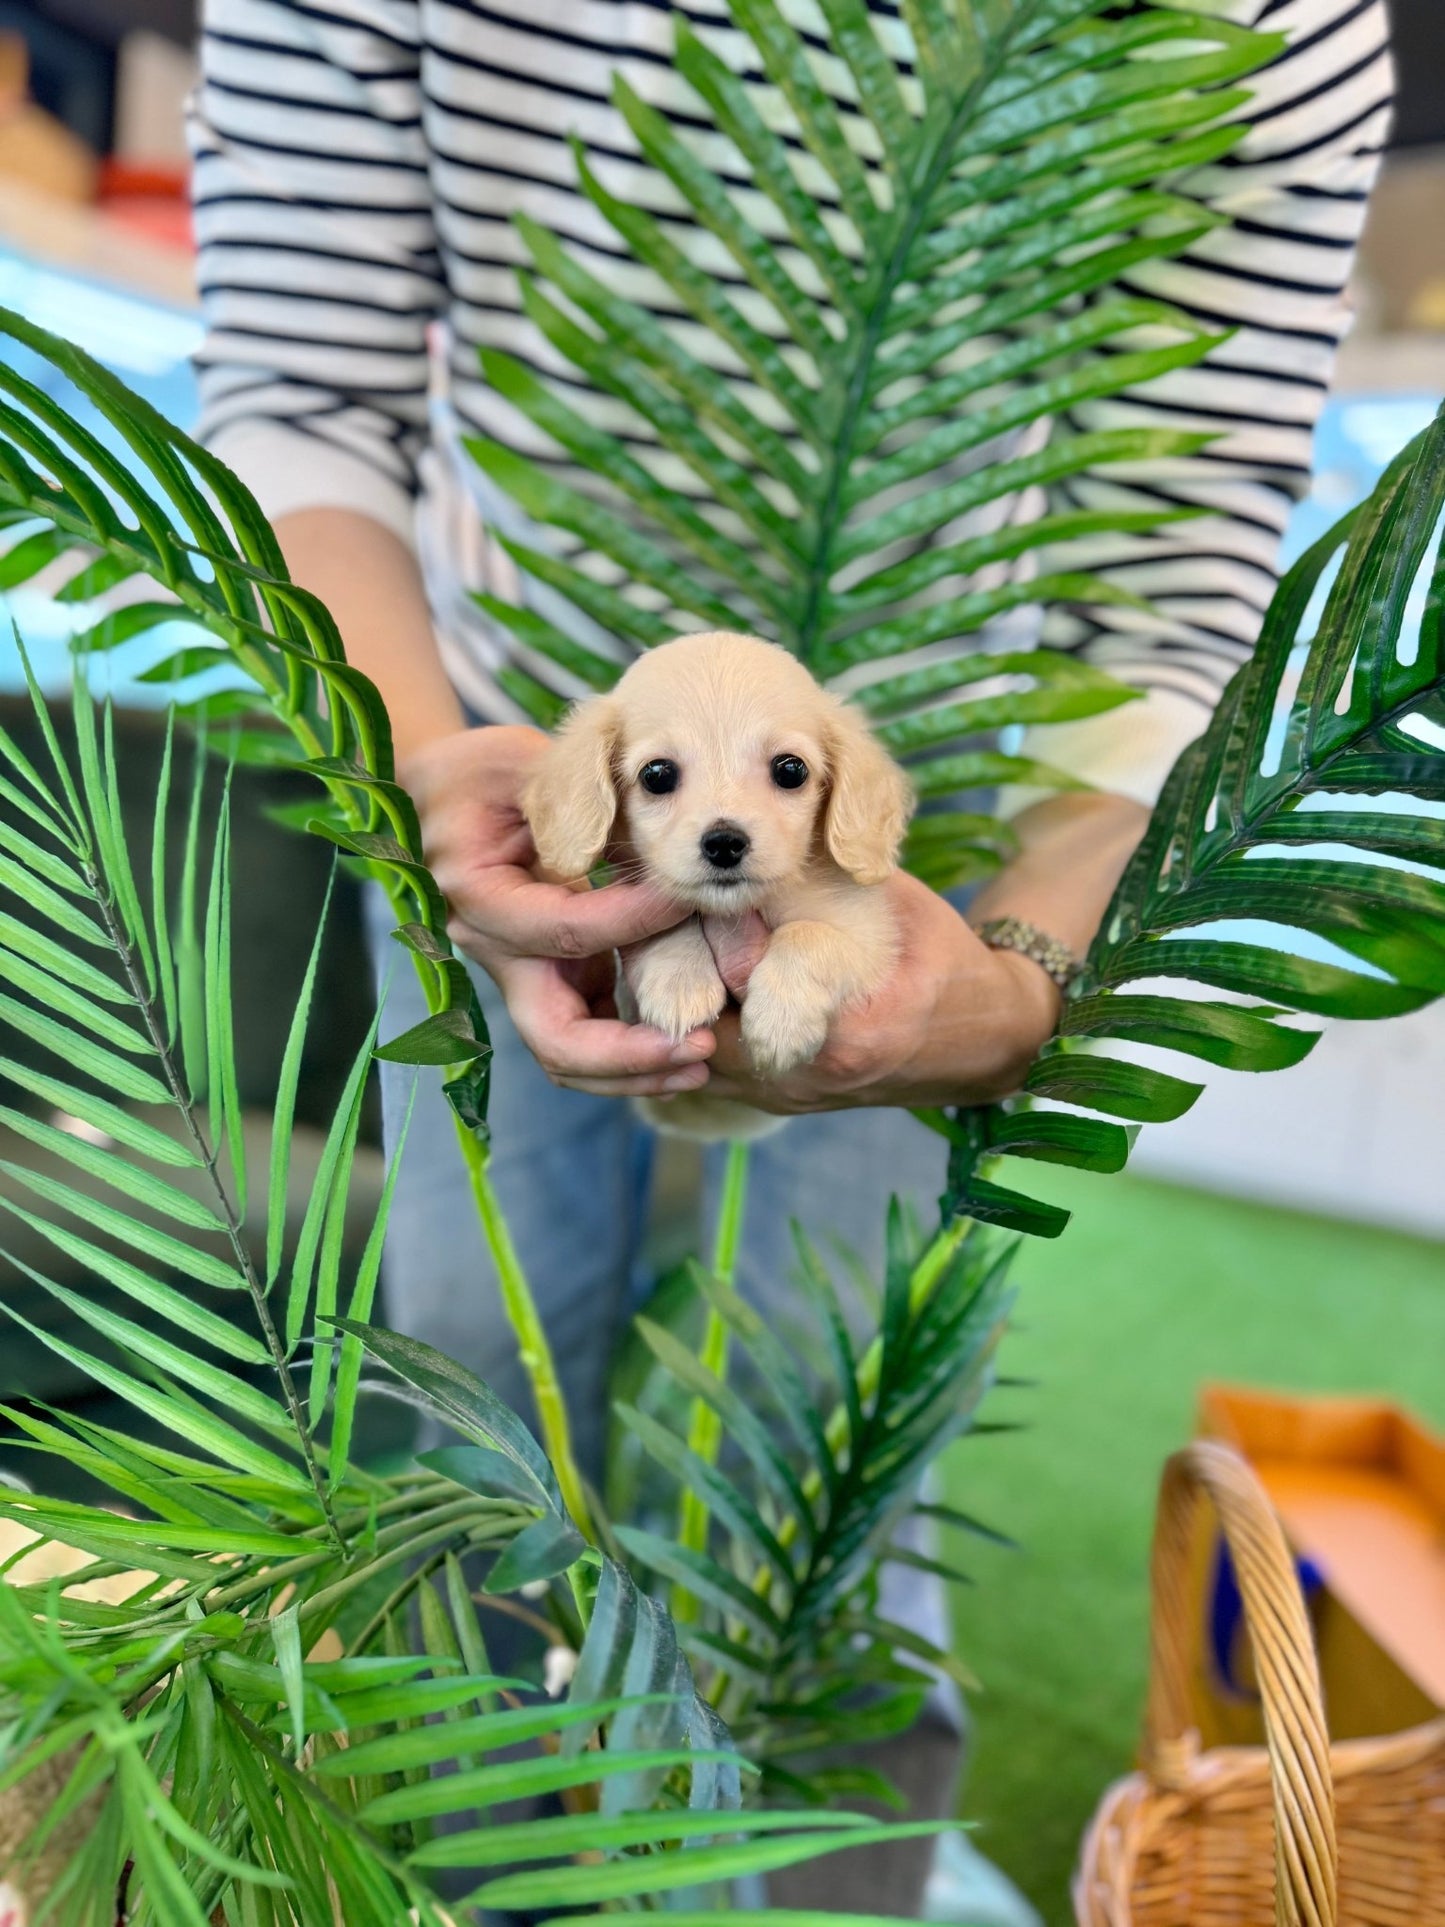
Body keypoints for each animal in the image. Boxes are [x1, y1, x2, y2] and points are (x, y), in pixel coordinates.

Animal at [524, 632, 917, 1140]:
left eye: (791, 770)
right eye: (656, 774)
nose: (725, 843)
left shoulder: (872, 940)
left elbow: (808, 935)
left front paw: (781, 1021)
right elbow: (673, 920)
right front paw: (679, 981)